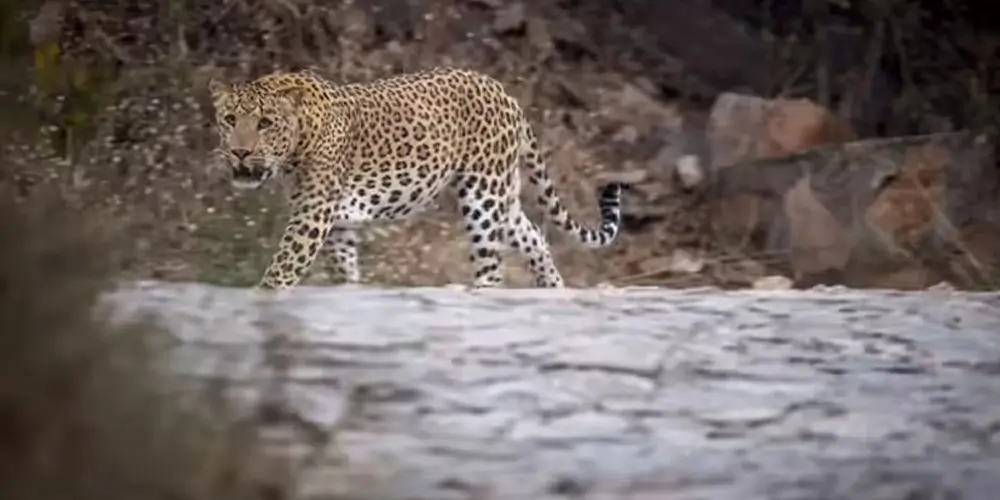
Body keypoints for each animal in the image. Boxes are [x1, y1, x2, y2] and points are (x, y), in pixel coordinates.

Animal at [207, 66, 624, 290]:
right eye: (230, 119)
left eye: (265, 123)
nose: (240, 152)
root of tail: (505, 94)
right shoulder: (338, 224)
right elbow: (344, 272)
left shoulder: (314, 215)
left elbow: (282, 269)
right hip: (499, 195)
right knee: (533, 235)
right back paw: (553, 290)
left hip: (483, 198)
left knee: (492, 266)